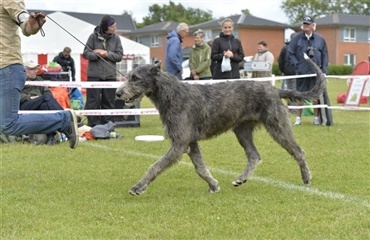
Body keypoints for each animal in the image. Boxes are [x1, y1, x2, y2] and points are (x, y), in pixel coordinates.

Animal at [117, 53, 326, 195]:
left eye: (135, 78)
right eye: (127, 77)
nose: (118, 93)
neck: (172, 94)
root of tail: (274, 89)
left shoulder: (180, 143)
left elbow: (156, 165)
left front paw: (138, 186)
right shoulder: (190, 142)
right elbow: (200, 167)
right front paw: (213, 184)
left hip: (277, 126)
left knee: (298, 151)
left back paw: (306, 177)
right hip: (242, 130)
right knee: (254, 155)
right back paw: (241, 178)